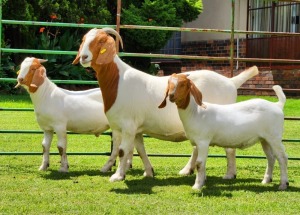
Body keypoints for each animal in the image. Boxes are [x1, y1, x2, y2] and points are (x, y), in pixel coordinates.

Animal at [72, 27, 258, 182]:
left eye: (101, 41)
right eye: (84, 39)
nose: (84, 57)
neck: (118, 81)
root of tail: (231, 82)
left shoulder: (128, 126)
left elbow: (122, 150)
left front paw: (117, 176)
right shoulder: (134, 128)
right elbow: (139, 149)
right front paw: (148, 172)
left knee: (229, 148)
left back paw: (229, 174)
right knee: (198, 147)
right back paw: (187, 170)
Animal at [159, 73, 288, 190]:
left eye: (183, 84)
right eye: (169, 82)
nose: (171, 95)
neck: (196, 112)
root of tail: (277, 105)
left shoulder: (203, 141)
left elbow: (199, 163)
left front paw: (197, 186)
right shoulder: (198, 143)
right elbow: (203, 163)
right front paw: (202, 182)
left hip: (275, 137)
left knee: (282, 157)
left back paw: (283, 184)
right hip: (265, 139)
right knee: (271, 157)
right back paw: (266, 180)